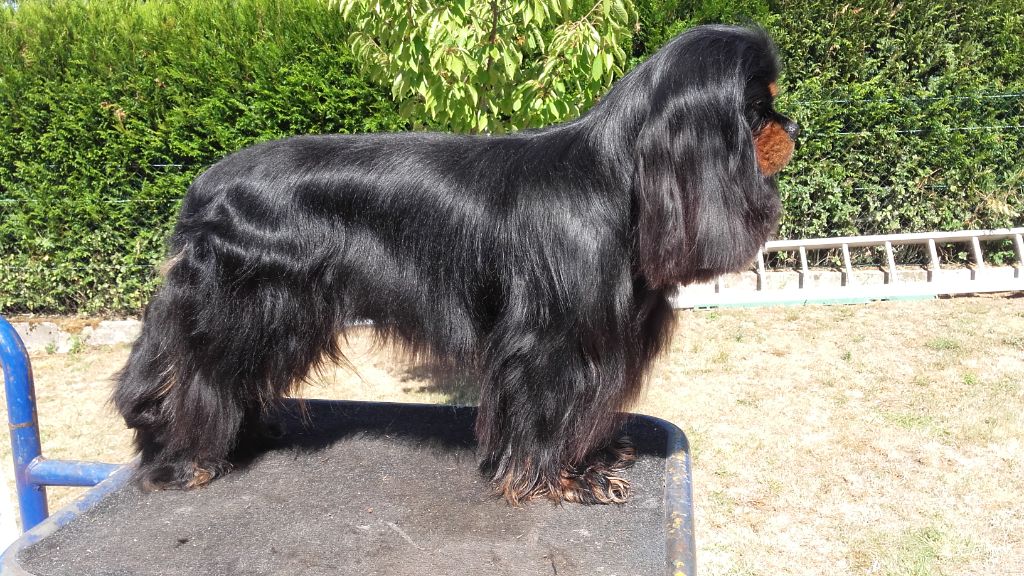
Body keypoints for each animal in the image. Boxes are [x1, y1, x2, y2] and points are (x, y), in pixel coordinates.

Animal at [114, 24, 798, 505]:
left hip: (279, 315)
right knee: (192, 379)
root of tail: (201, 190)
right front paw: (559, 480)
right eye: (757, 110)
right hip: (240, 307)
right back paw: (183, 461)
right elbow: (548, 408)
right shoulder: (551, 341)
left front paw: (592, 460)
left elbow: (587, 410)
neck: (618, 177)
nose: (792, 125)